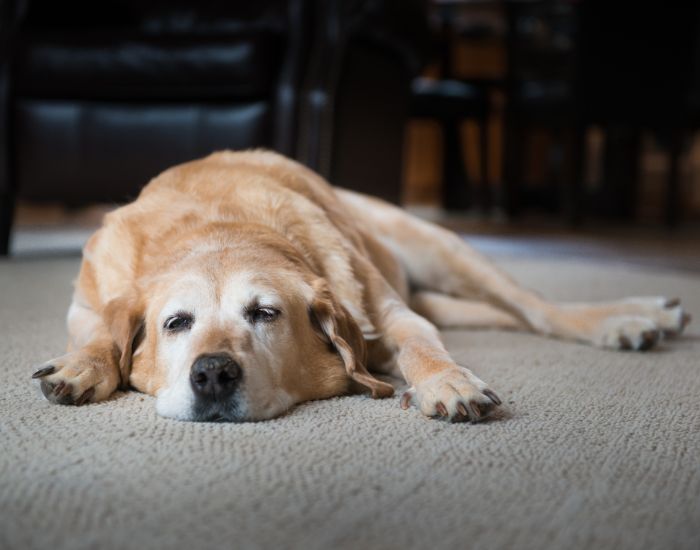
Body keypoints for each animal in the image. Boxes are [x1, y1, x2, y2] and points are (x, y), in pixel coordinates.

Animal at [31, 150, 688, 422]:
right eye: (176, 324)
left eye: (265, 313)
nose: (213, 373)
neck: (220, 225)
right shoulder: (84, 303)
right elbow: (100, 335)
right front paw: (82, 367)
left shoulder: (391, 315)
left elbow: (421, 346)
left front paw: (447, 382)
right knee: (502, 316)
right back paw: (649, 315)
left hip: (440, 247)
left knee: (536, 309)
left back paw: (627, 319)